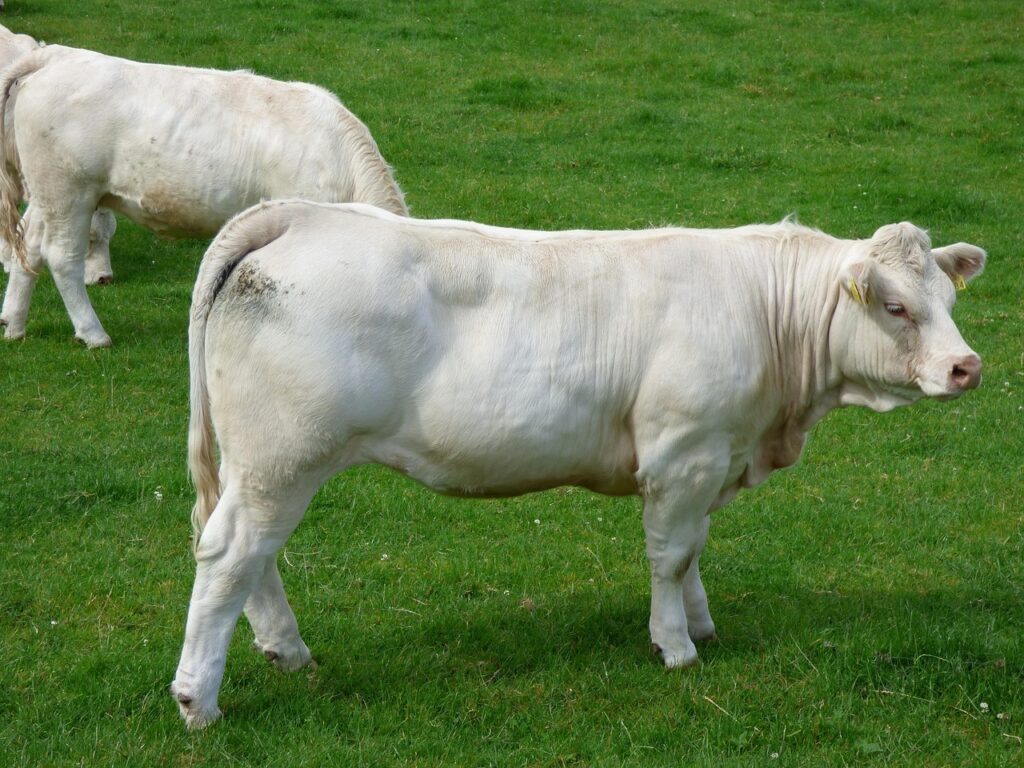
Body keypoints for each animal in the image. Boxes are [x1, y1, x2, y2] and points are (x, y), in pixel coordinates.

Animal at [170, 200, 986, 728]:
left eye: (946, 299)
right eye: (895, 307)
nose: (966, 367)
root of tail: (304, 215)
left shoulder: (711, 457)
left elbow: (694, 552)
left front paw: (701, 623)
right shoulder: (683, 452)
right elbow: (671, 555)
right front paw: (677, 646)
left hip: (262, 464)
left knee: (249, 554)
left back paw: (288, 653)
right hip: (285, 455)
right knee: (230, 554)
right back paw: (198, 702)